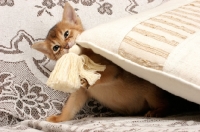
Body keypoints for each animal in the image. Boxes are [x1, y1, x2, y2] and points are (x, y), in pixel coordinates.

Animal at [32, 2, 198, 122]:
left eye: (66, 34)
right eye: (55, 48)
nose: (66, 46)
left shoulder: (113, 70)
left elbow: (101, 76)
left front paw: (90, 79)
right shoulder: (79, 93)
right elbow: (70, 108)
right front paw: (57, 119)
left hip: (153, 95)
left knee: (170, 106)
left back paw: (156, 112)